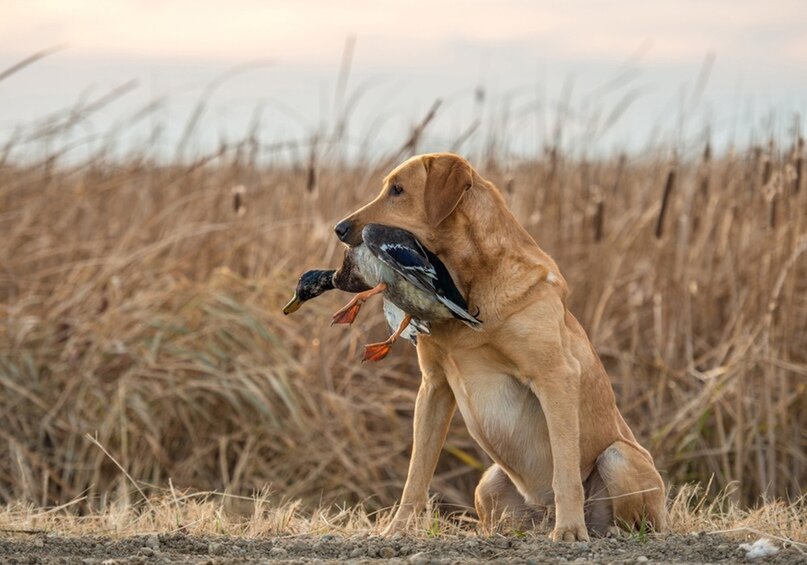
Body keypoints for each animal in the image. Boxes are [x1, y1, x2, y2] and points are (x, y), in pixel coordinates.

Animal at [332, 152, 664, 540]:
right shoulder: (434, 387)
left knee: (634, 521)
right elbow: (416, 476)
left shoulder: (557, 376)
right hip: (487, 483)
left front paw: (569, 531)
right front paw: (397, 531)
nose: (339, 228)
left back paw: (599, 530)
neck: (469, 281)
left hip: (619, 457)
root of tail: (542, 510)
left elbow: (566, 470)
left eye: (398, 189)